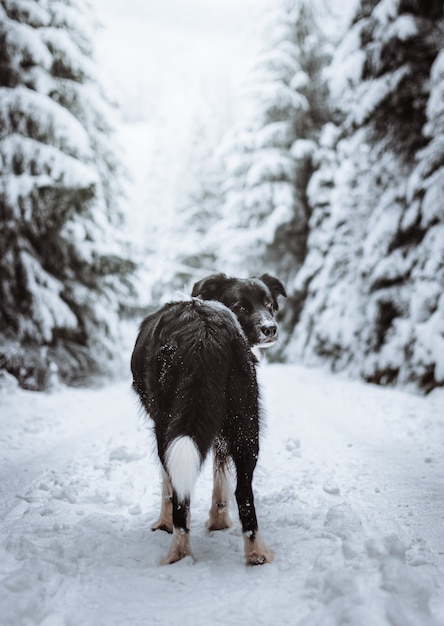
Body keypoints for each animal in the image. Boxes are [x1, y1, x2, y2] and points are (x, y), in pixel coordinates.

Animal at [130, 270, 286, 564]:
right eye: (241, 307)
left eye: (268, 303)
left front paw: (163, 523)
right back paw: (256, 553)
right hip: (246, 419)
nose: (270, 328)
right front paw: (219, 520)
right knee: (243, 491)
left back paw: (179, 553)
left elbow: (168, 485)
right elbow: (221, 475)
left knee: (180, 494)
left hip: (168, 423)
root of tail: (203, 331)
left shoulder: (161, 426)